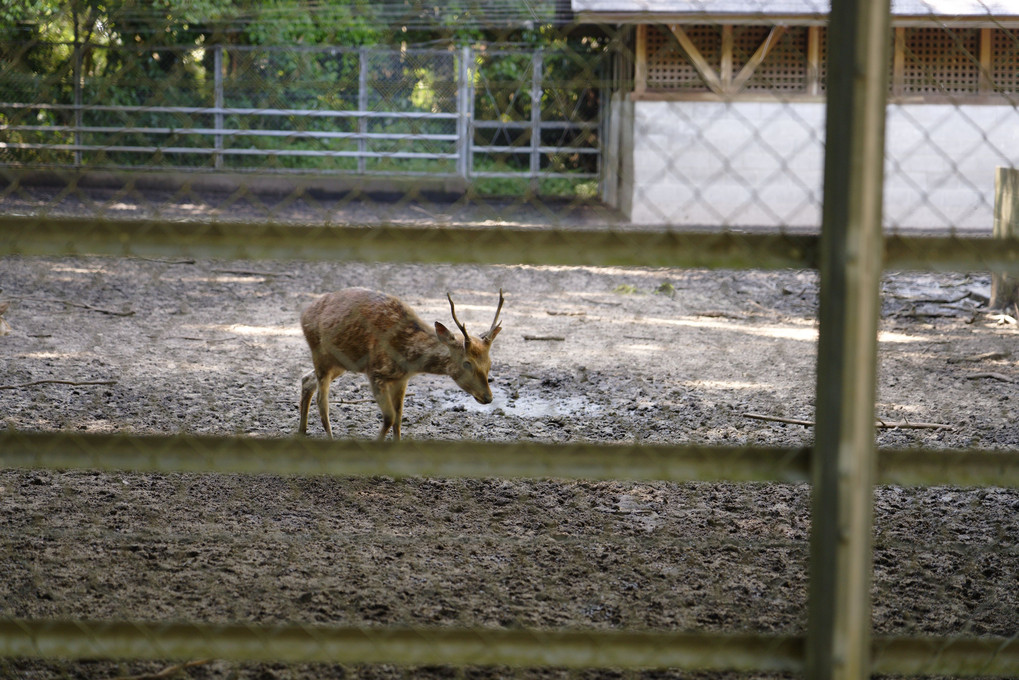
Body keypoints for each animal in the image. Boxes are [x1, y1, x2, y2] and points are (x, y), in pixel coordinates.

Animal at [297, 287, 503, 442]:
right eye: (467, 363)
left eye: (489, 362)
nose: (488, 397)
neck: (408, 356)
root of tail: (303, 314)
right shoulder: (376, 372)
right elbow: (389, 417)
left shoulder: (401, 379)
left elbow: (399, 418)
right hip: (320, 353)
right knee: (322, 400)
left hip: (340, 363)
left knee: (307, 379)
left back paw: (302, 431)